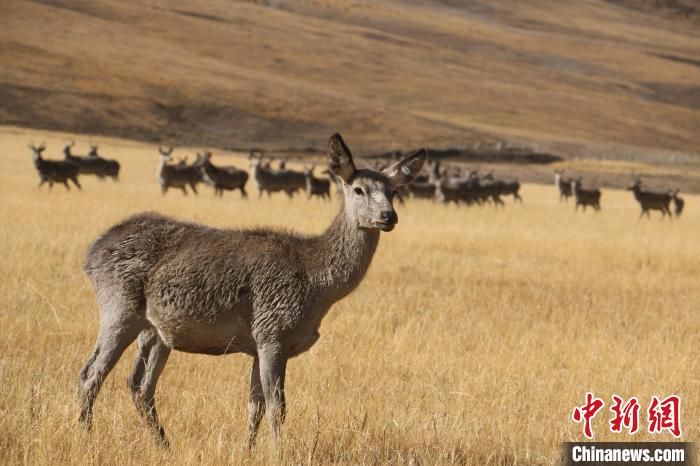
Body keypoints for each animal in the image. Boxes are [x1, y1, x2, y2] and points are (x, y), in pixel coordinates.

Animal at [76, 134, 426, 448]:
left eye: (393, 190)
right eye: (359, 189)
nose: (388, 216)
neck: (319, 287)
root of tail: (91, 255)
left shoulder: (259, 341)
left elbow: (254, 406)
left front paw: (247, 450)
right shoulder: (273, 331)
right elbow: (277, 408)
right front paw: (277, 452)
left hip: (157, 330)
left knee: (139, 386)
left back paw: (164, 445)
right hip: (118, 307)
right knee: (90, 374)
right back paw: (86, 438)